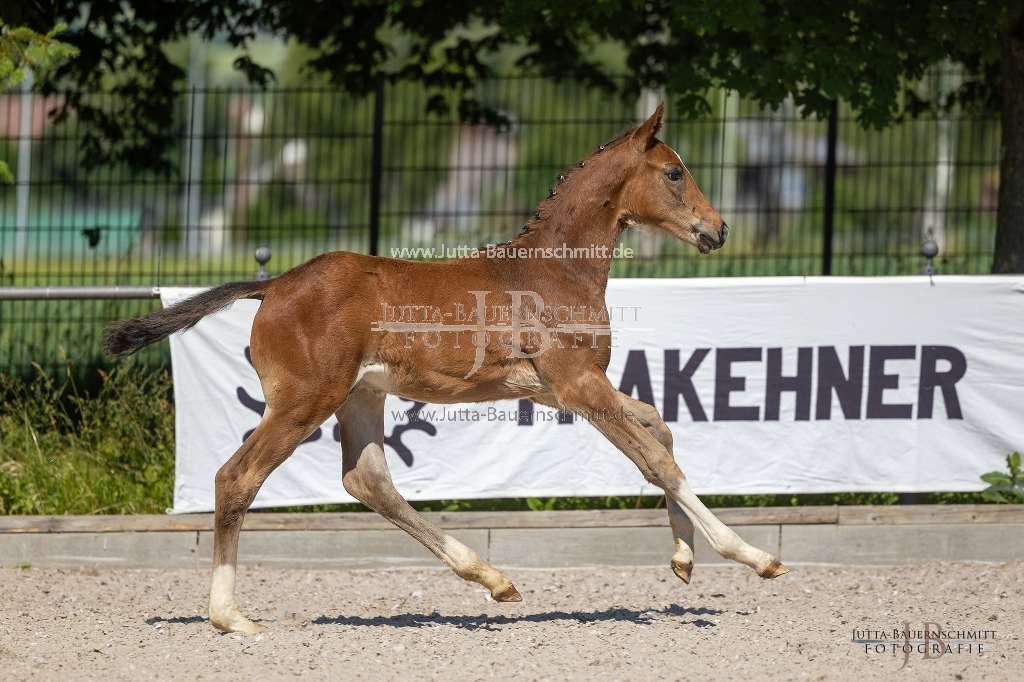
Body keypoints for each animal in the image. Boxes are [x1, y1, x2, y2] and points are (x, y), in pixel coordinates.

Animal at [105, 103, 782, 634]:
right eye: (674, 172)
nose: (719, 229)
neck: (553, 269)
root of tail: (272, 284)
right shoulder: (577, 383)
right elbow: (656, 460)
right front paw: (751, 556)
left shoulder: (565, 390)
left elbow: (659, 429)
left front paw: (685, 560)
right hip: (305, 401)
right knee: (237, 477)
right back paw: (231, 617)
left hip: (359, 396)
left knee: (367, 480)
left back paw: (492, 577)